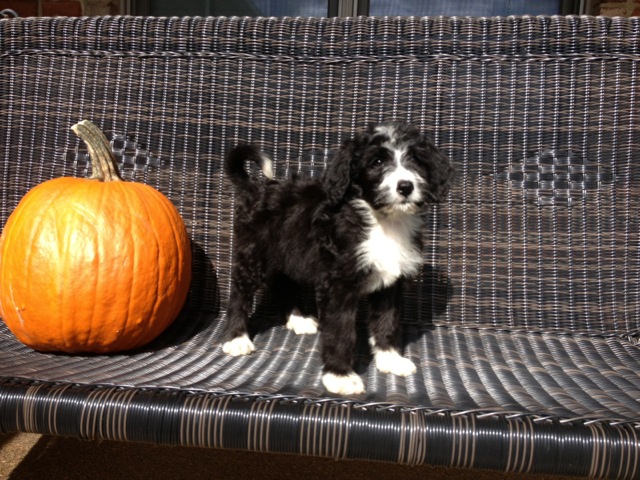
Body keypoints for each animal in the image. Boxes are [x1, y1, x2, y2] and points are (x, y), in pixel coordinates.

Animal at [222, 122, 452, 396]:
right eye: (376, 162)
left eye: (415, 159)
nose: (405, 187)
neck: (383, 222)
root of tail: (257, 188)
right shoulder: (337, 286)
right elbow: (341, 332)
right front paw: (340, 376)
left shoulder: (389, 285)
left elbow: (387, 323)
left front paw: (390, 359)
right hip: (253, 255)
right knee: (240, 293)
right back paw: (236, 338)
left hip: (287, 256)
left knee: (283, 284)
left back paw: (298, 320)